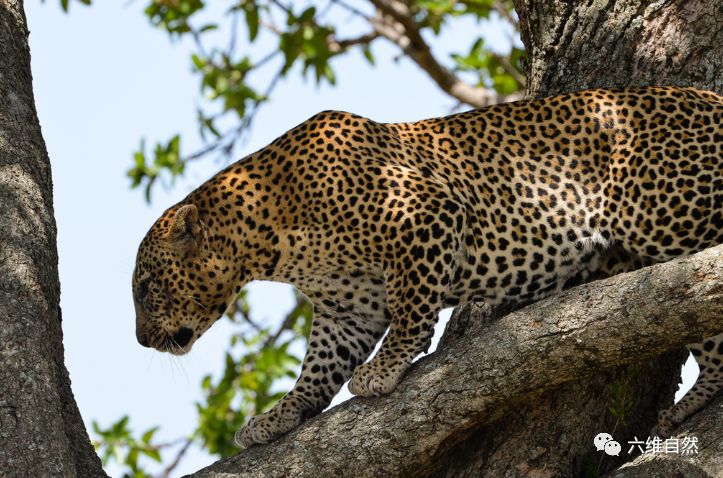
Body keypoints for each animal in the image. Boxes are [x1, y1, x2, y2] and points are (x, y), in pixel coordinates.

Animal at [133, 86, 723, 448]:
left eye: (145, 287)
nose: (139, 340)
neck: (267, 237)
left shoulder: (425, 215)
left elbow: (411, 307)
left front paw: (385, 368)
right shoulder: (346, 308)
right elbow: (318, 366)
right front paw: (279, 416)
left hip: (660, 217)